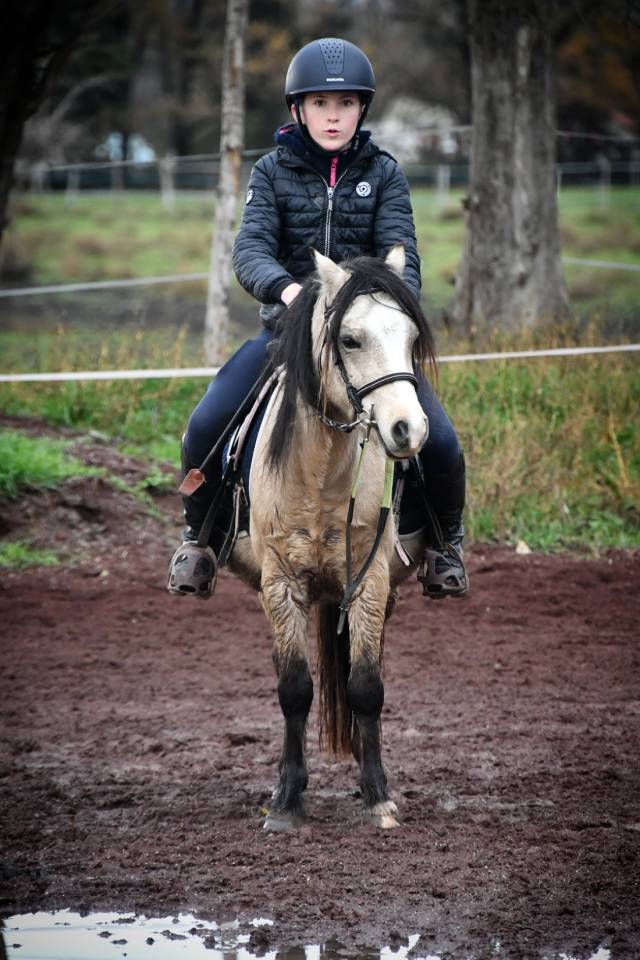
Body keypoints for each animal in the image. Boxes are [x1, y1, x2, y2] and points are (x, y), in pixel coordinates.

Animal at [228, 245, 437, 831]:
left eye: (411, 337)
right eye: (350, 339)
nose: (408, 430)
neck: (320, 473)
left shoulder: (369, 584)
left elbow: (365, 687)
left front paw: (379, 795)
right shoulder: (280, 584)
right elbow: (295, 689)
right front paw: (285, 801)